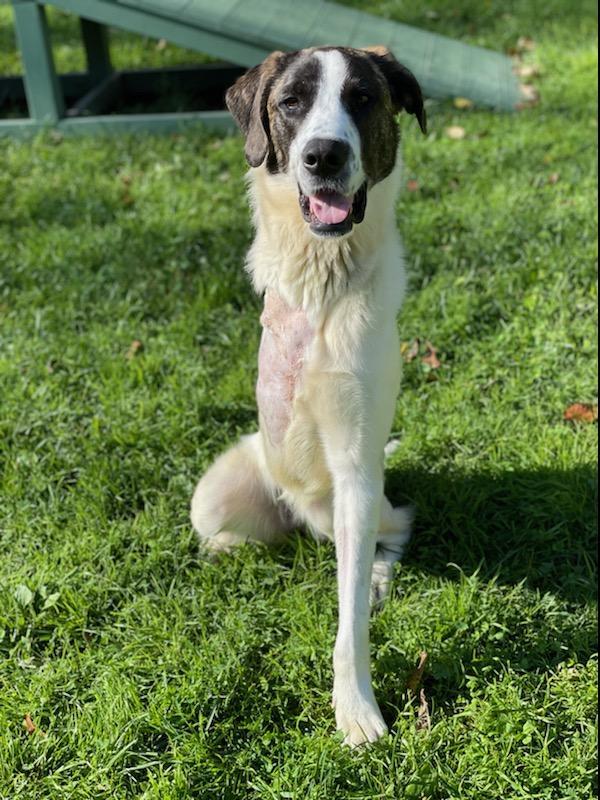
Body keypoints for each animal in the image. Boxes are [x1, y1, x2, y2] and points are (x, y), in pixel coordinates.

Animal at [191, 45, 426, 746]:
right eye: (291, 102)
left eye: (362, 99)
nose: (323, 155)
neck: (325, 277)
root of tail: (297, 512)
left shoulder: (354, 468)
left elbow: (349, 627)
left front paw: (357, 712)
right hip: (223, 489)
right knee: (224, 531)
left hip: (357, 500)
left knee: (396, 527)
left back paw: (378, 572)